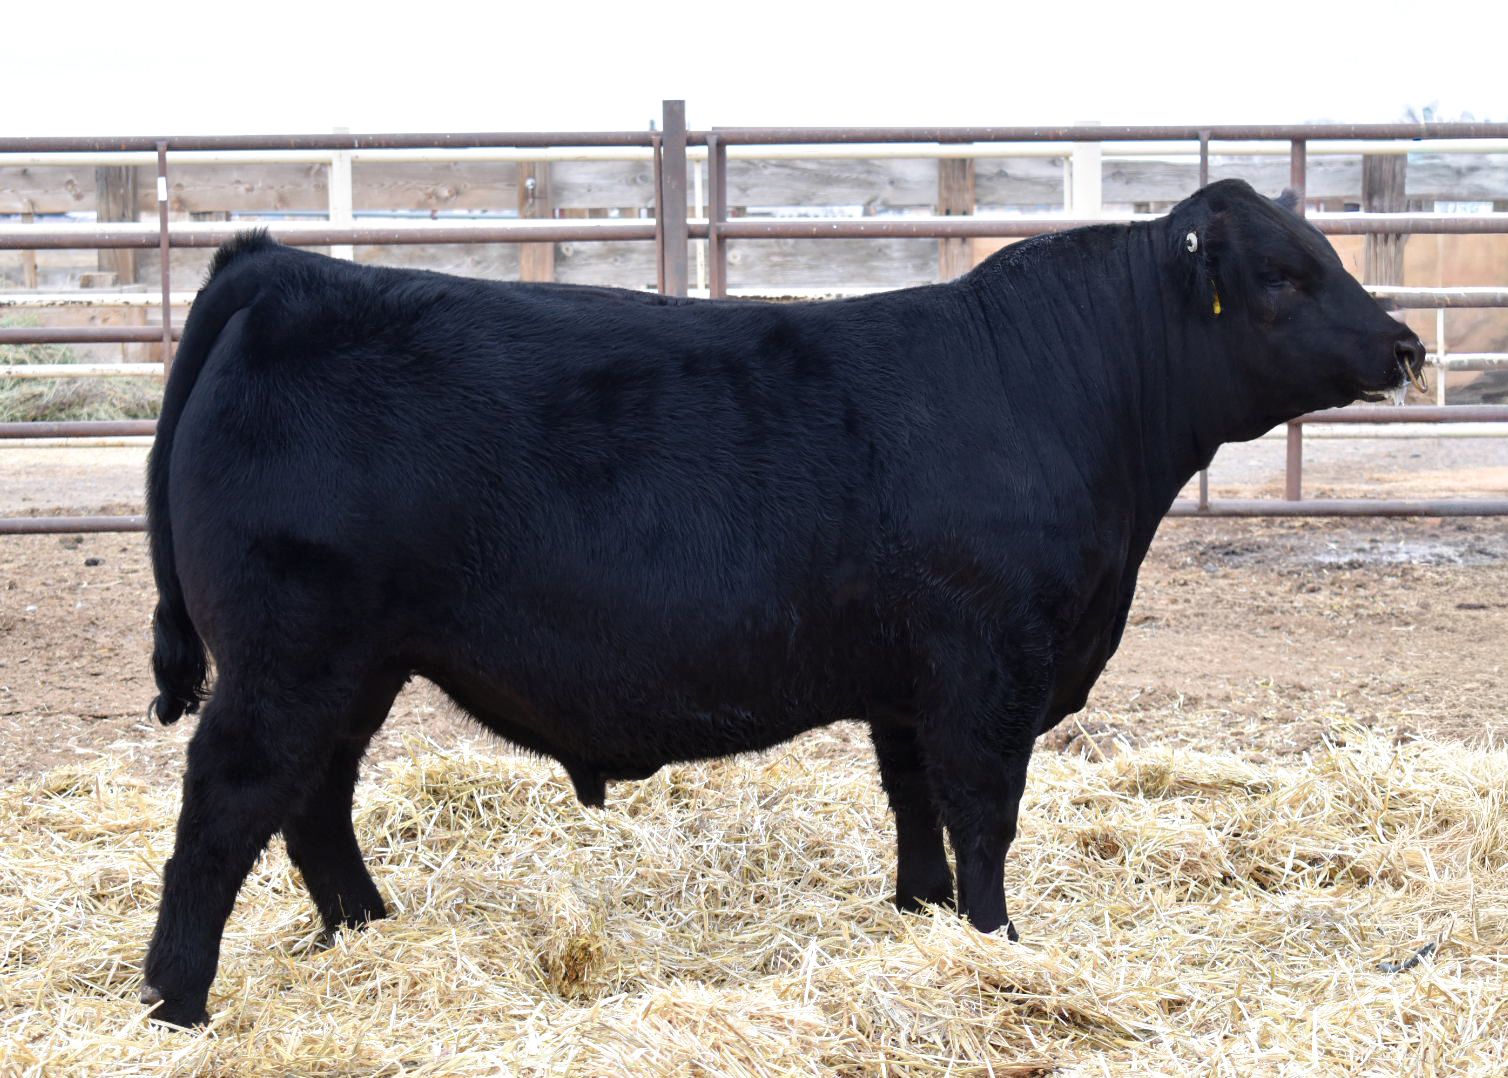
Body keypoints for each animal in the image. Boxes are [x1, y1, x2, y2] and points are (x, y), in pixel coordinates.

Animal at [137, 179, 1426, 1026]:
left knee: (312, 801)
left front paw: (918, 921)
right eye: (1282, 276)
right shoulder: (989, 665)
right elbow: (985, 812)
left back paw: (372, 931)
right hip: (291, 653)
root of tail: (282, 267)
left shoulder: (910, 680)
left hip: (357, 661)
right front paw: (997, 944)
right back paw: (176, 1000)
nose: (1406, 344)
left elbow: (916, 808)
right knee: (229, 802)